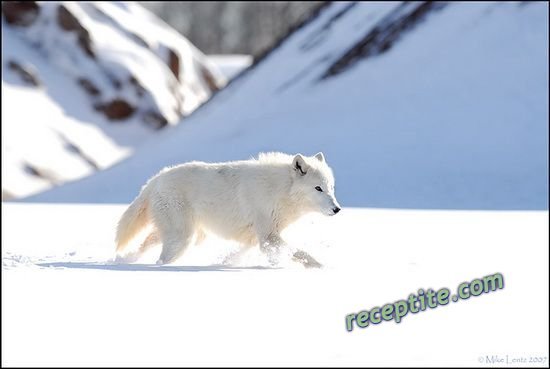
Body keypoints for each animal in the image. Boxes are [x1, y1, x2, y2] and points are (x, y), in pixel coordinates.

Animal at [116, 151, 340, 266]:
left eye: (331, 187)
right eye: (318, 188)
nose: (337, 209)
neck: (280, 190)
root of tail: (155, 179)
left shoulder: (256, 238)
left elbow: (236, 256)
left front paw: (223, 264)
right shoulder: (268, 236)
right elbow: (299, 253)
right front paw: (320, 267)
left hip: (184, 235)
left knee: (147, 242)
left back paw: (124, 260)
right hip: (182, 239)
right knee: (161, 258)